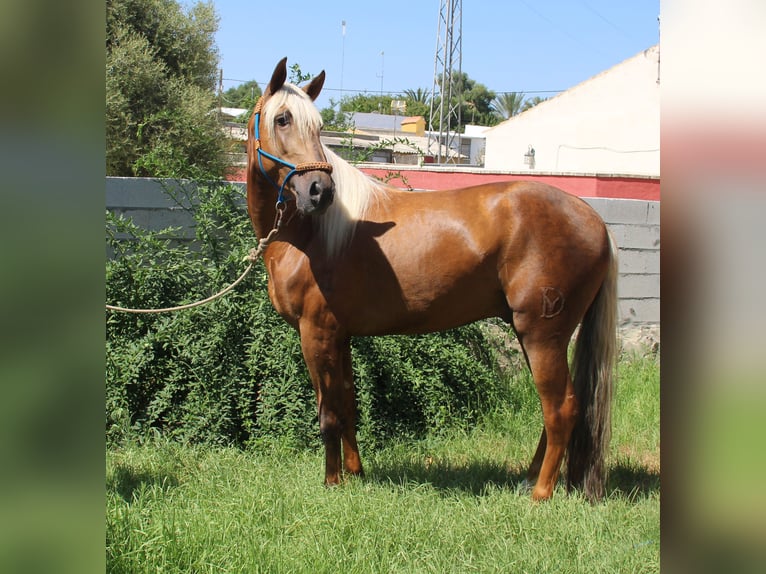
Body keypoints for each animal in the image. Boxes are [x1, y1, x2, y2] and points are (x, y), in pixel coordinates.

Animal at [249, 56, 620, 502]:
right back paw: (528, 479)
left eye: (318, 126)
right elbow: (348, 403)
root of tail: (593, 218)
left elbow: (328, 413)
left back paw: (540, 493)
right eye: (282, 119)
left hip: (542, 334)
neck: (309, 235)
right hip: (536, 335)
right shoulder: (340, 336)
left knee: (561, 407)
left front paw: (332, 481)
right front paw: (355, 473)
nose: (319, 191)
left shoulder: (316, 333)